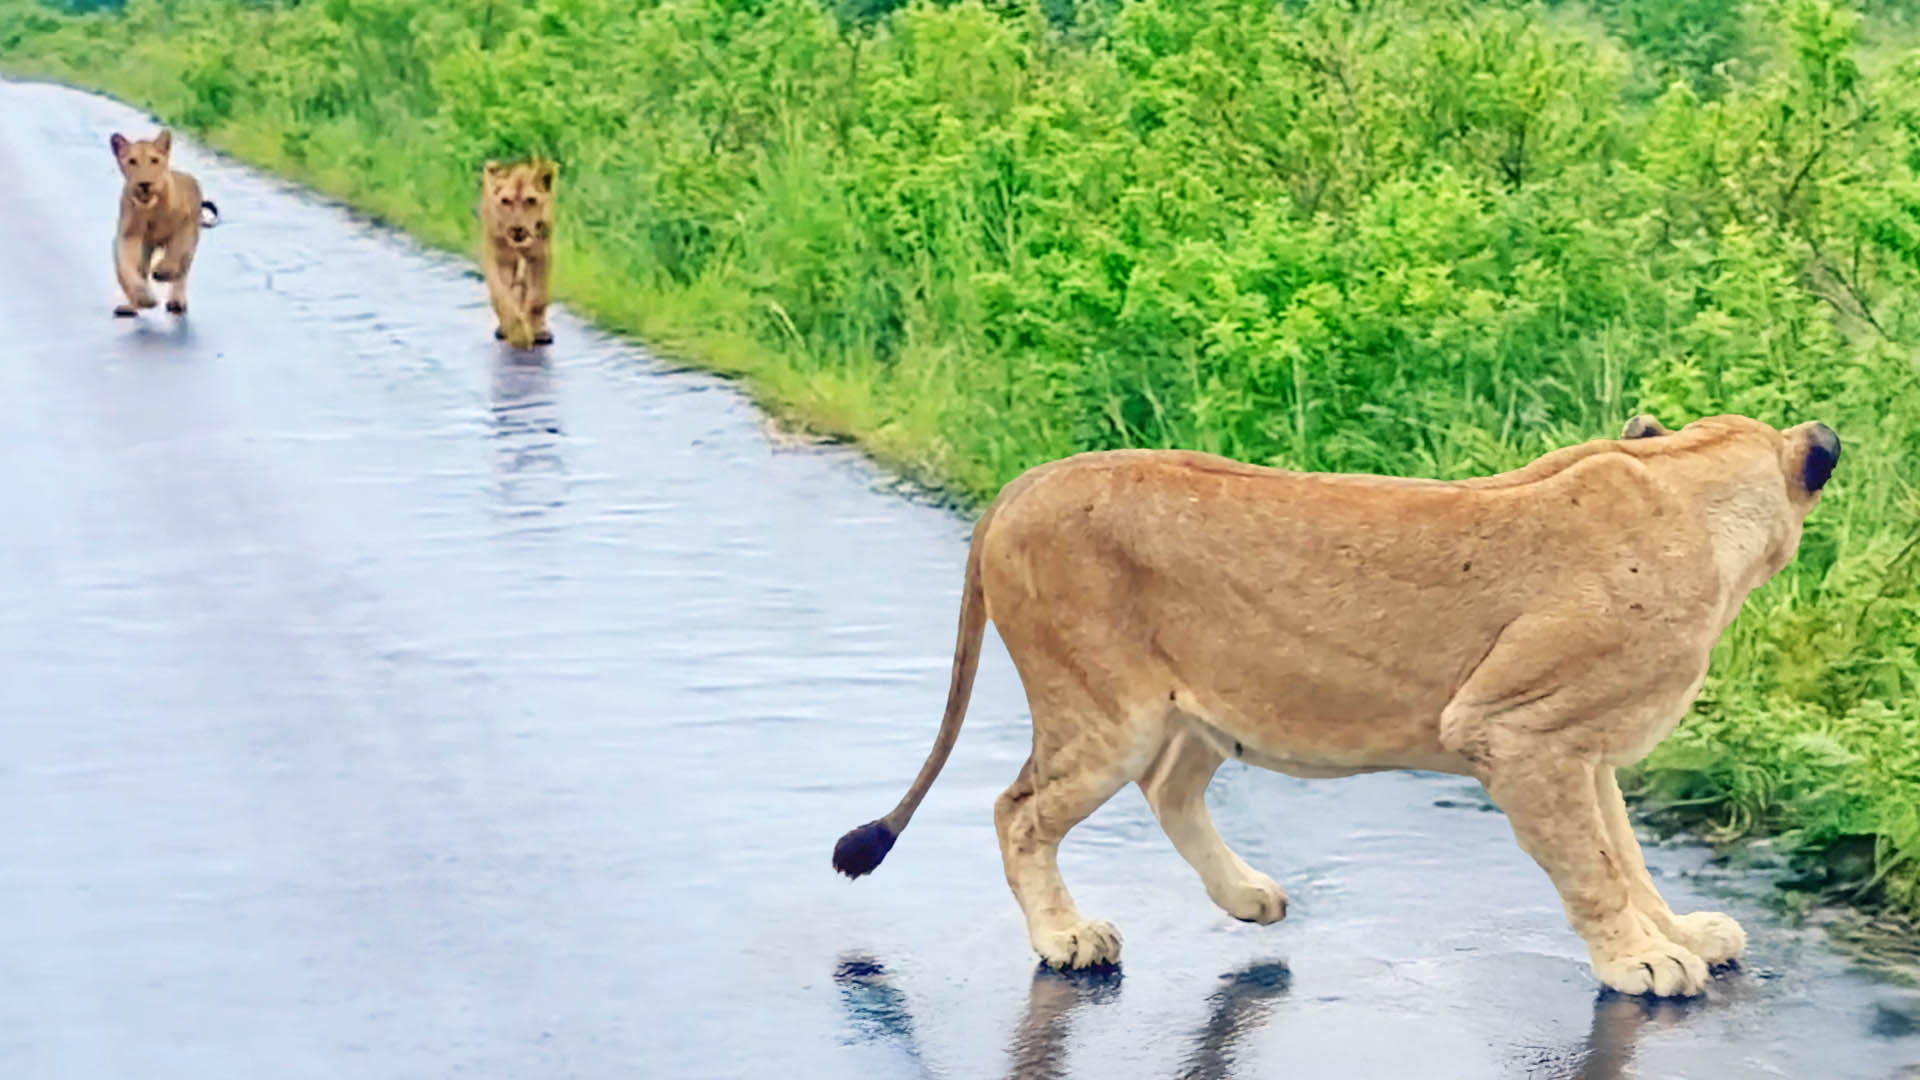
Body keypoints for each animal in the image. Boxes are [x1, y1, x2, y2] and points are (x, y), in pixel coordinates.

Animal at [109, 128, 219, 317]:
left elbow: (175, 252)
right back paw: (131, 307)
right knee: (142, 271)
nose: (145, 184)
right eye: (132, 161)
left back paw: (176, 300)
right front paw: (144, 299)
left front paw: (164, 271)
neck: (151, 210)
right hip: (146, 248)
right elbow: (127, 269)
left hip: (191, 239)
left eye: (154, 160)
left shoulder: (185, 227)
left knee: (183, 271)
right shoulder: (128, 237)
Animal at [479, 159, 557, 349]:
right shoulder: (500, 257)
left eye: (531, 200)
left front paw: (535, 330)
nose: (517, 229)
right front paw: (519, 335)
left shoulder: (540, 255)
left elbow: (537, 298)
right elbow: (503, 297)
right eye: (505, 201)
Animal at [834, 413, 1840, 998]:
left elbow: (1625, 854)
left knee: (1169, 789)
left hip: (1201, 705)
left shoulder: (1580, 746)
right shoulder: (1516, 730)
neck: (1682, 477)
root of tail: (1022, 483)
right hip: (1106, 715)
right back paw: (1067, 937)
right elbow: (1593, 867)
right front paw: (1639, 962)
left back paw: (1248, 897)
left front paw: (1679, 933)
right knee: (1019, 811)